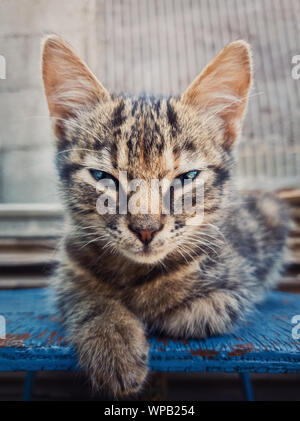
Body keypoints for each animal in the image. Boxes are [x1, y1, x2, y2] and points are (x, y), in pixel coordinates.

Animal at [41, 34, 288, 396]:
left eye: (187, 177)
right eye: (103, 177)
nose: (146, 228)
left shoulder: (240, 282)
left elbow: (206, 312)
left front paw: (156, 313)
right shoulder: (66, 274)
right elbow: (86, 298)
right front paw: (112, 340)